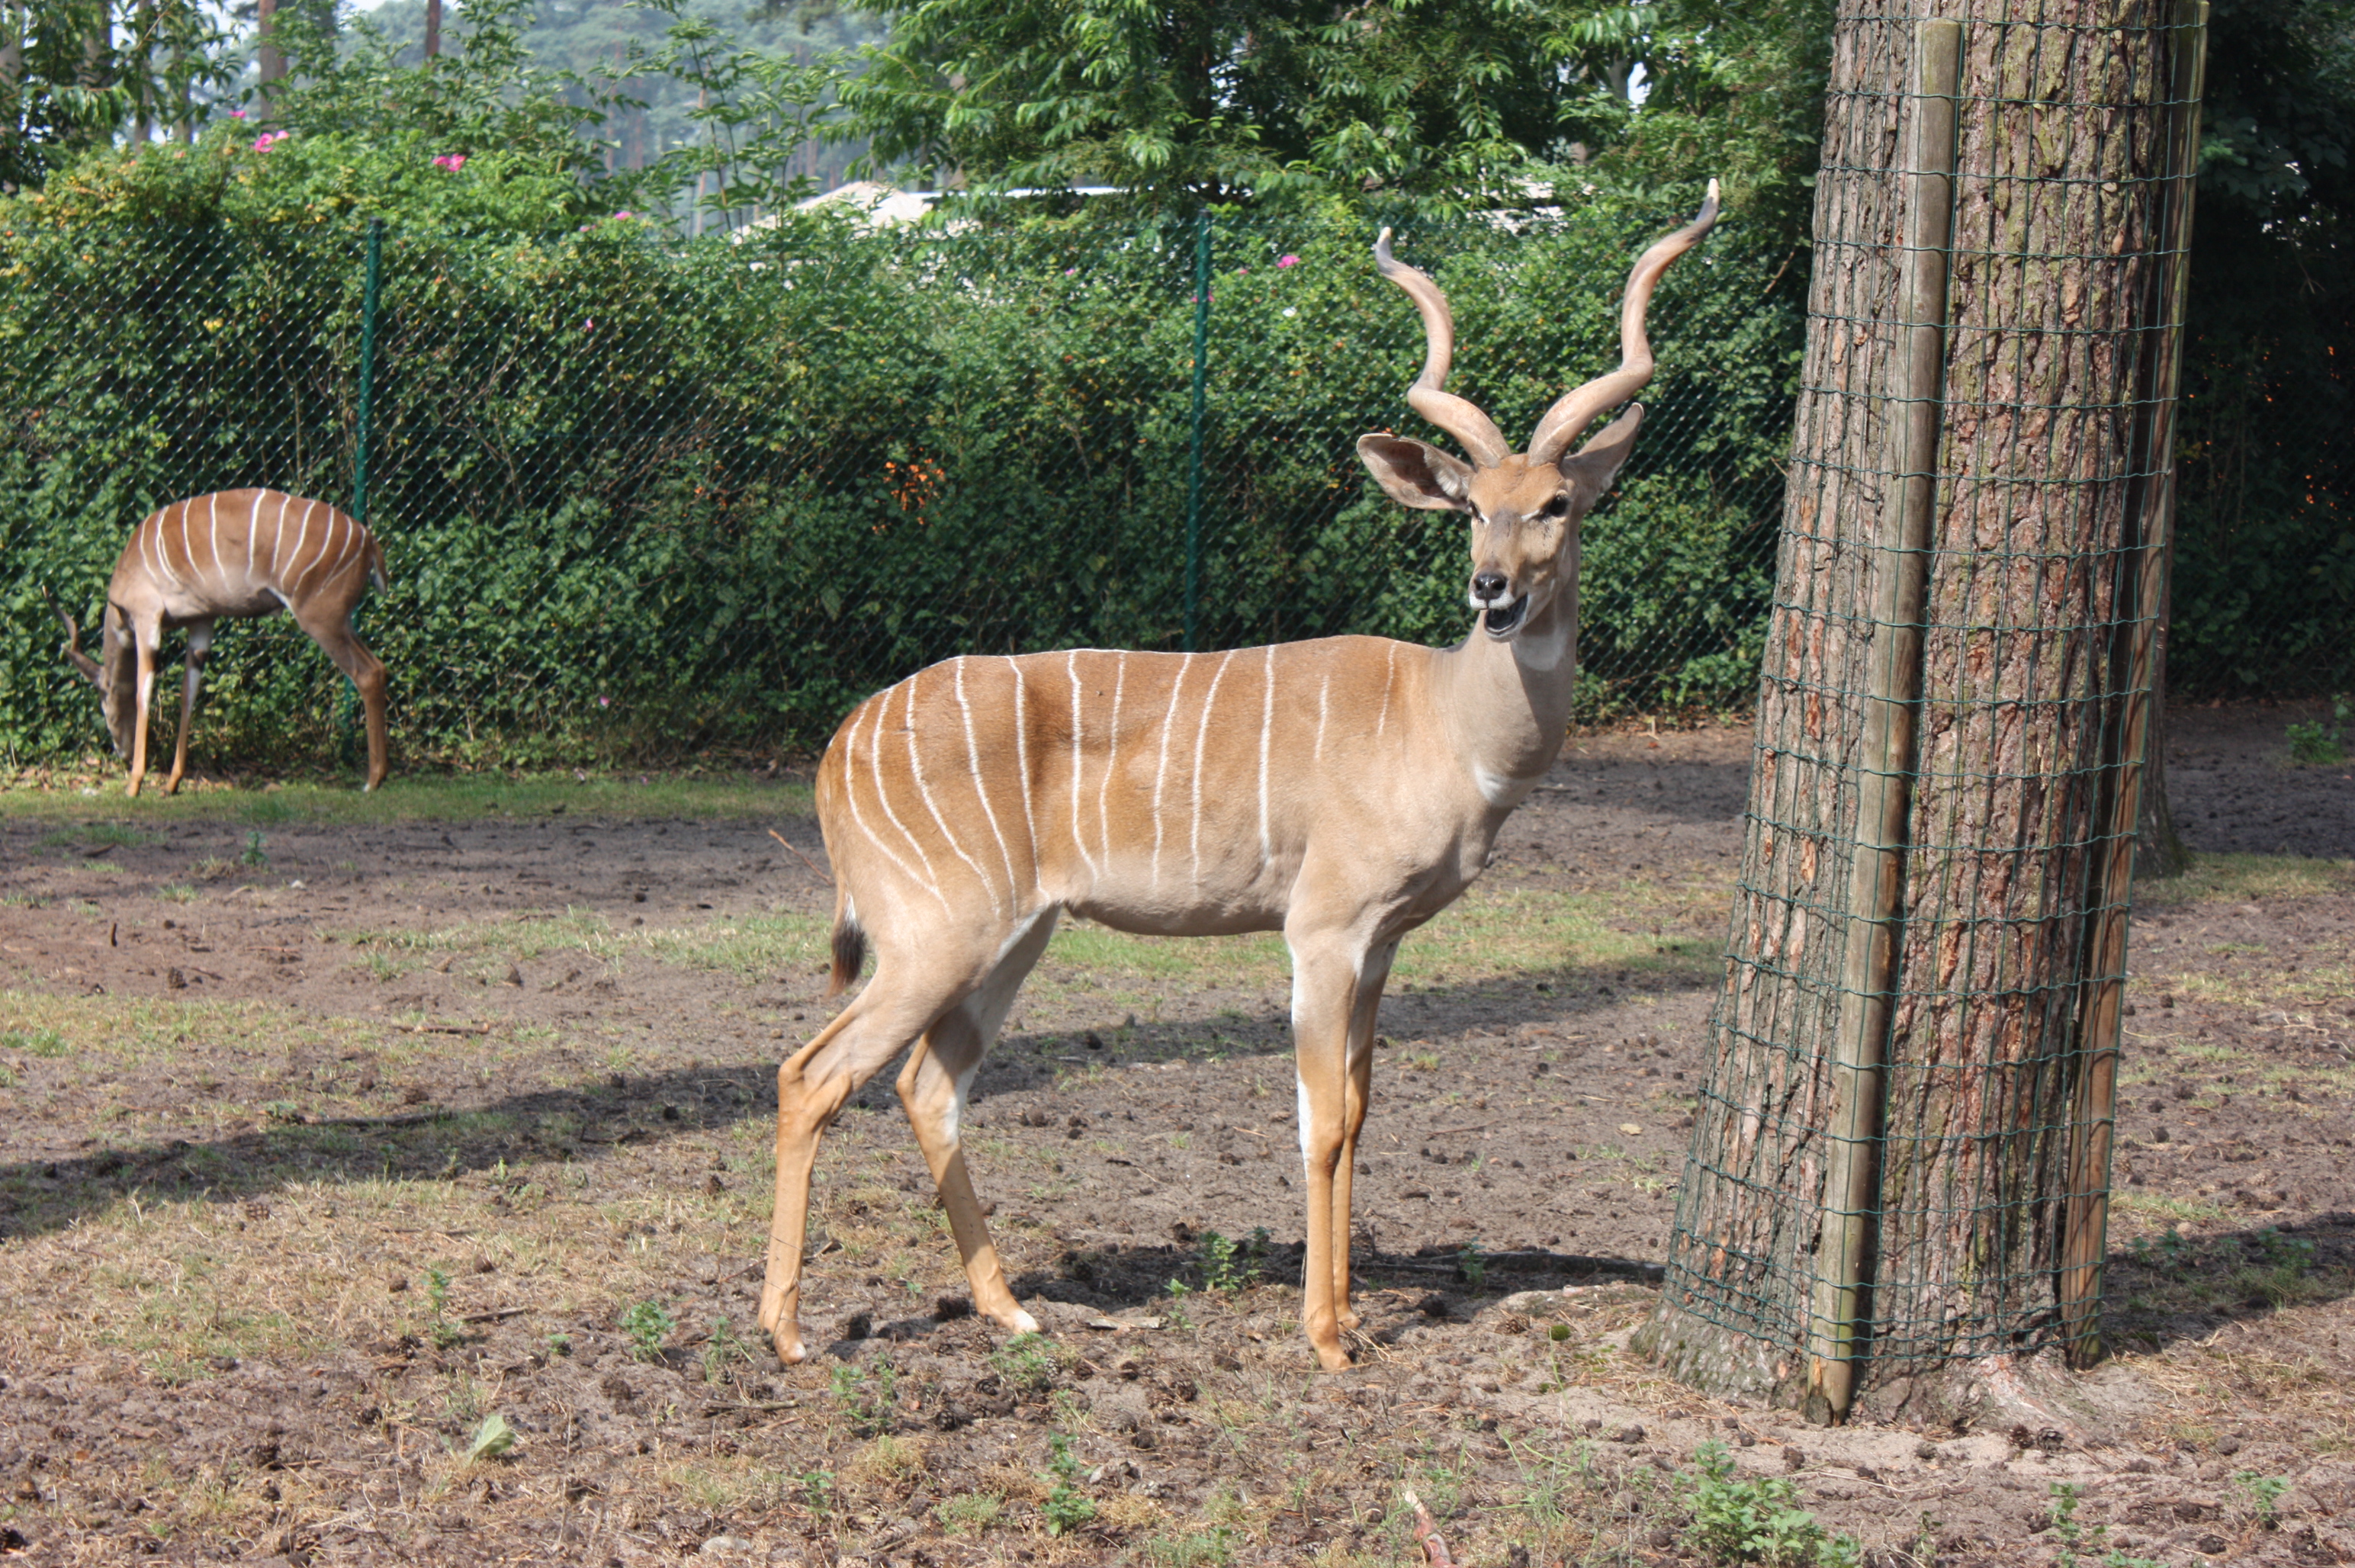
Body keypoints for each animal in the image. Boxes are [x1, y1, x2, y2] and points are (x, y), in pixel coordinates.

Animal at [57, 492, 390, 795]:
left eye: (104, 701)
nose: (121, 751)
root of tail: (369, 541)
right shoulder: (202, 620)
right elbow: (188, 694)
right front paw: (172, 784)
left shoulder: (147, 616)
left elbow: (144, 692)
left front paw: (135, 784)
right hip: (343, 621)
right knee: (379, 667)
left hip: (321, 619)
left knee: (366, 673)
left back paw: (372, 781)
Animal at [763, 183, 1724, 1365]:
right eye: (1469, 507)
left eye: (1557, 504)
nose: (1492, 588)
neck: (1446, 720)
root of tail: (842, 745)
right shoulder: (1322, 929)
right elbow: (1319, 1119)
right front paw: (1326, 1336)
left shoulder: (1383, 942)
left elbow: (1362, 1111)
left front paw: (1350, 1311)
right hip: (933, 931)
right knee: (811, 1075)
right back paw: (788, 1332)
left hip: (1011, 934)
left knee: (927, 1085)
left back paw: (1011, 1308)